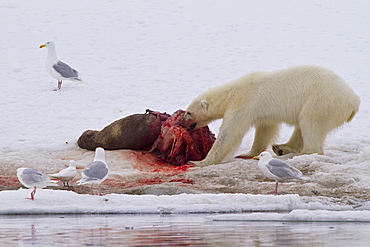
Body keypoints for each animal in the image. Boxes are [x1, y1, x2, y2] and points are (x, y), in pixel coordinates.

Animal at [181, 64, 360, 167]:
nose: (181, 122)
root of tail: (354, 101)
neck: (232, 93)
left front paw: (200, 161)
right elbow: (265, 128)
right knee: (301, 126)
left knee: (309, 121)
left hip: (323, 100)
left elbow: (230, 132)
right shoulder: (262, 112)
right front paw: (248, 154)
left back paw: (304, 152)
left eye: (189, 112)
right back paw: (282, 147)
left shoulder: (244, 102)